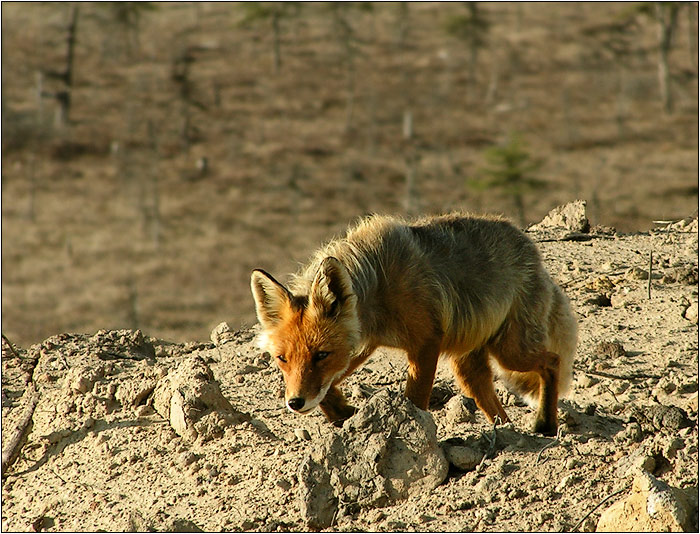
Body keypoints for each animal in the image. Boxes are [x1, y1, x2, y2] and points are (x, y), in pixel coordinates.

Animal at [249, 213, 576, 436]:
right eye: (282, 359)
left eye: (321, 355)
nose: (295, 403)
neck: (379, 285)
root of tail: (530, 247)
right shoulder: (362, 344)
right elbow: (326, 391)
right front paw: (343, 412)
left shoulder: (426, 342)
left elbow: (416, 397)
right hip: (468, 366)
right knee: (493, 400)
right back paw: (507, 431)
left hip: (511, 352)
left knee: (552, 360)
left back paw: (545, 425)